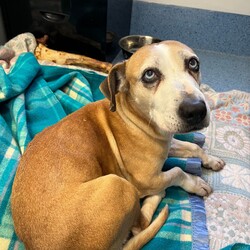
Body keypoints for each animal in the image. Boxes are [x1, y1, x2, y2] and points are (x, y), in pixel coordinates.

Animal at [10, 40, 225, 249]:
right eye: (149, 75)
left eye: (193, 63)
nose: (195, 110)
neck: (131, 116)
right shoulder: (147, 178)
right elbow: (177, 172)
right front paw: (196, 183)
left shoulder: (166, 143)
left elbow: (194, 147)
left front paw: (211, 160)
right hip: (121, 186)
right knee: (140, 225)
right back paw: (157, 195)